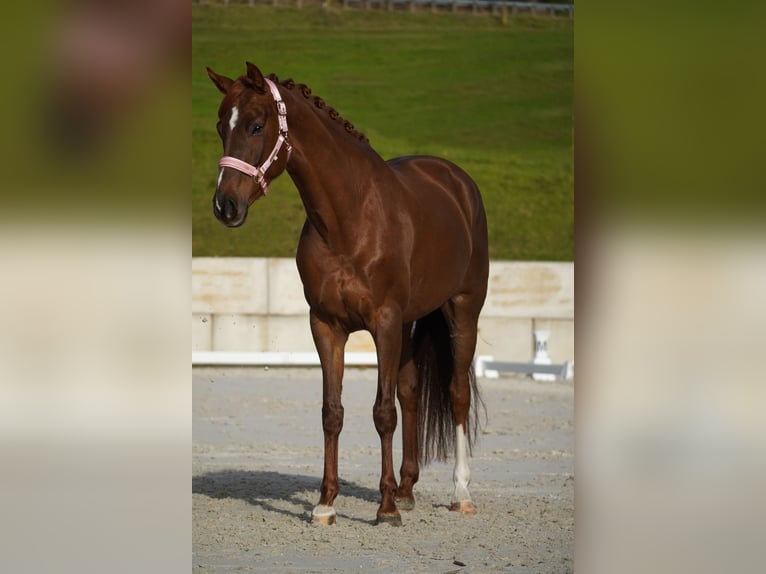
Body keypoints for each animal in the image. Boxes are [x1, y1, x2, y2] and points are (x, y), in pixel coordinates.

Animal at [207, 62, 489, 526]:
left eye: (256, 125)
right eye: (218, 126)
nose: (225, 206)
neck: (349, 219)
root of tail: (457, 183)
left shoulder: (384, 322)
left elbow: (382, 413)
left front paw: (385, 508)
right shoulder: (326, 325)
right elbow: (332, 412)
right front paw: (326, 503)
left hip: (462, 310)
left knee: (457, 393)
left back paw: (459, 493)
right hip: (409, 323)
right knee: (410, 391)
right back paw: (407, 488)